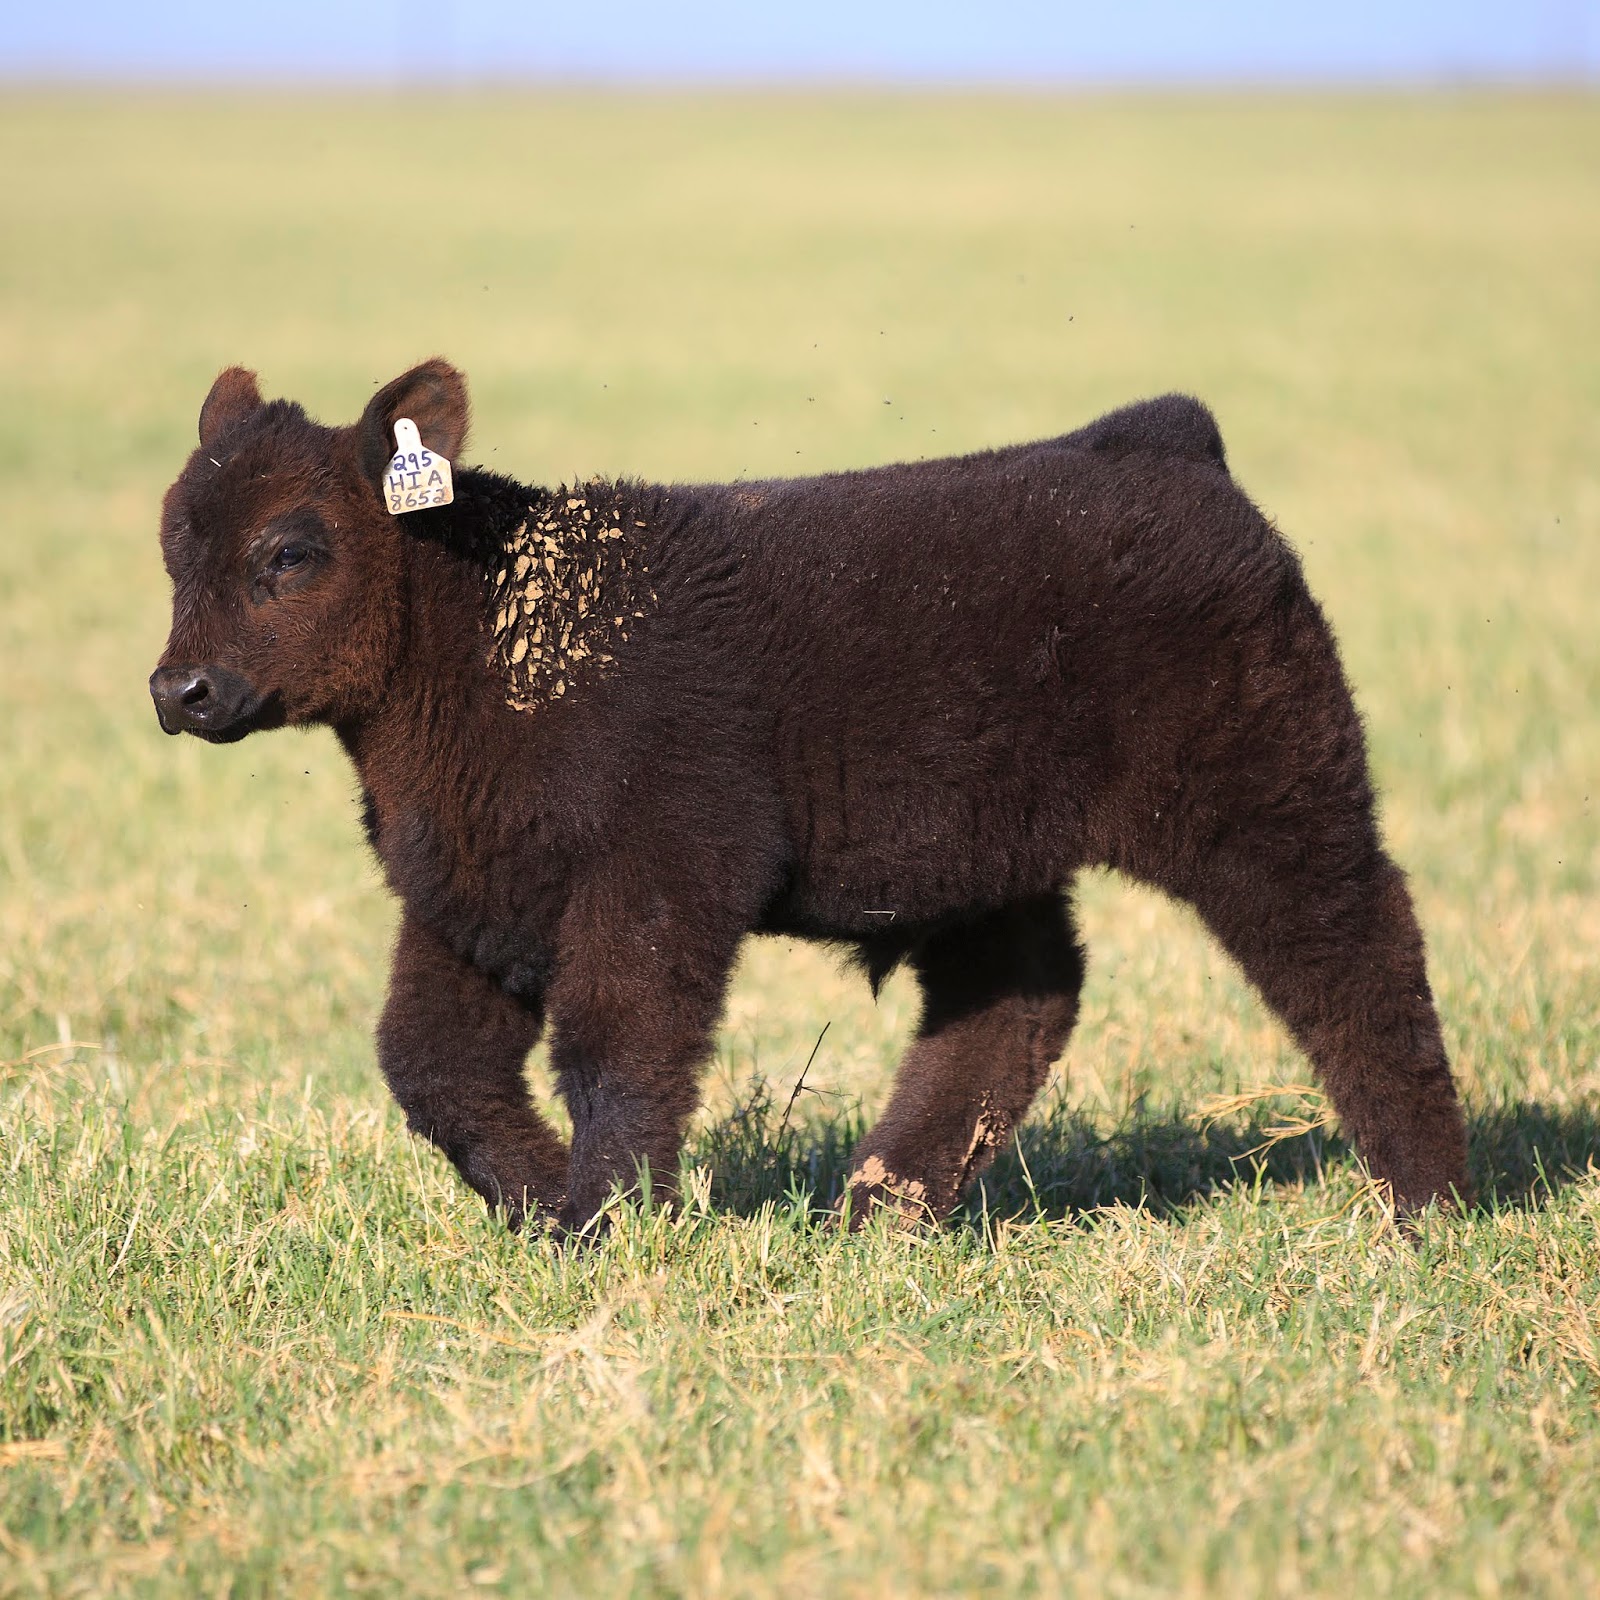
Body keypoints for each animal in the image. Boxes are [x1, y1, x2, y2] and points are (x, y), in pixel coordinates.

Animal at [150, 360, 1471, 1236]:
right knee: (1020, 997)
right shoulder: (468, 890)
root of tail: (1161, 441)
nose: (179, 687)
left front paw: (607, 1225)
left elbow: (617, 1044)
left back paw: (1428, 1201)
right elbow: (430, 1064)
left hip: (1274, 793)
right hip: (987, 857)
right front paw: (542, 1208)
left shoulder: (658, 875)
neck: (485, 636)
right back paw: (879, 1209)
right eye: (172, 548)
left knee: (1354, 949)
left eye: (290, 551)